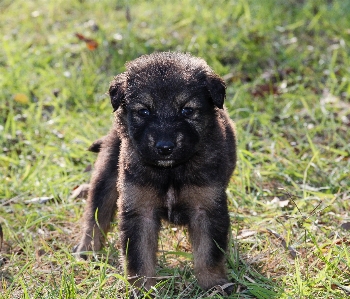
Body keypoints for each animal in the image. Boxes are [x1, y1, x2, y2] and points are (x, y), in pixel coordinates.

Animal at [75, 51, 237, 292]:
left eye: (187, 110)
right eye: (144, 111)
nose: (165, 147)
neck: (170, 172)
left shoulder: (206, 207)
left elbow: (209, 254)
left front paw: (214, 287)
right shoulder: (139, 209)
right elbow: (139, 256)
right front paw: (141, 289)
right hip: (107, 173)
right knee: (96, 212)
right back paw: (87, 249)